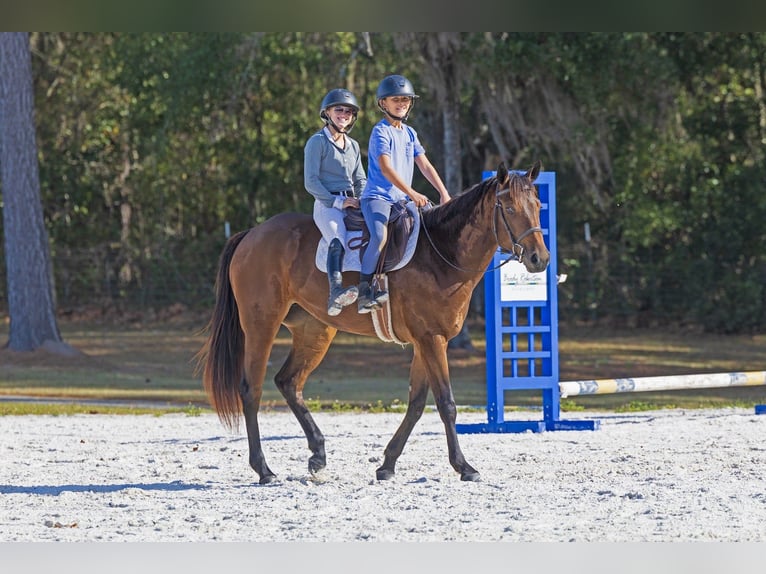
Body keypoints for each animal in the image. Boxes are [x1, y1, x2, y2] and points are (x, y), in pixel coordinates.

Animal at [197, 161, 548, 483]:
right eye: (510, 208)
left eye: (538, 207)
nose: (539, 259)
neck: (441, 254)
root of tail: (252, 234)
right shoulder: (431, 340)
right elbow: (446, 403)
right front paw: (464, 466)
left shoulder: (425, 343)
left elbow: (417, 404)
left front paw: (388, 464)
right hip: (261, 326)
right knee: (251, 390)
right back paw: (264, 469)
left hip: (315, 331)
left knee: (288, 382)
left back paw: (317, 454)